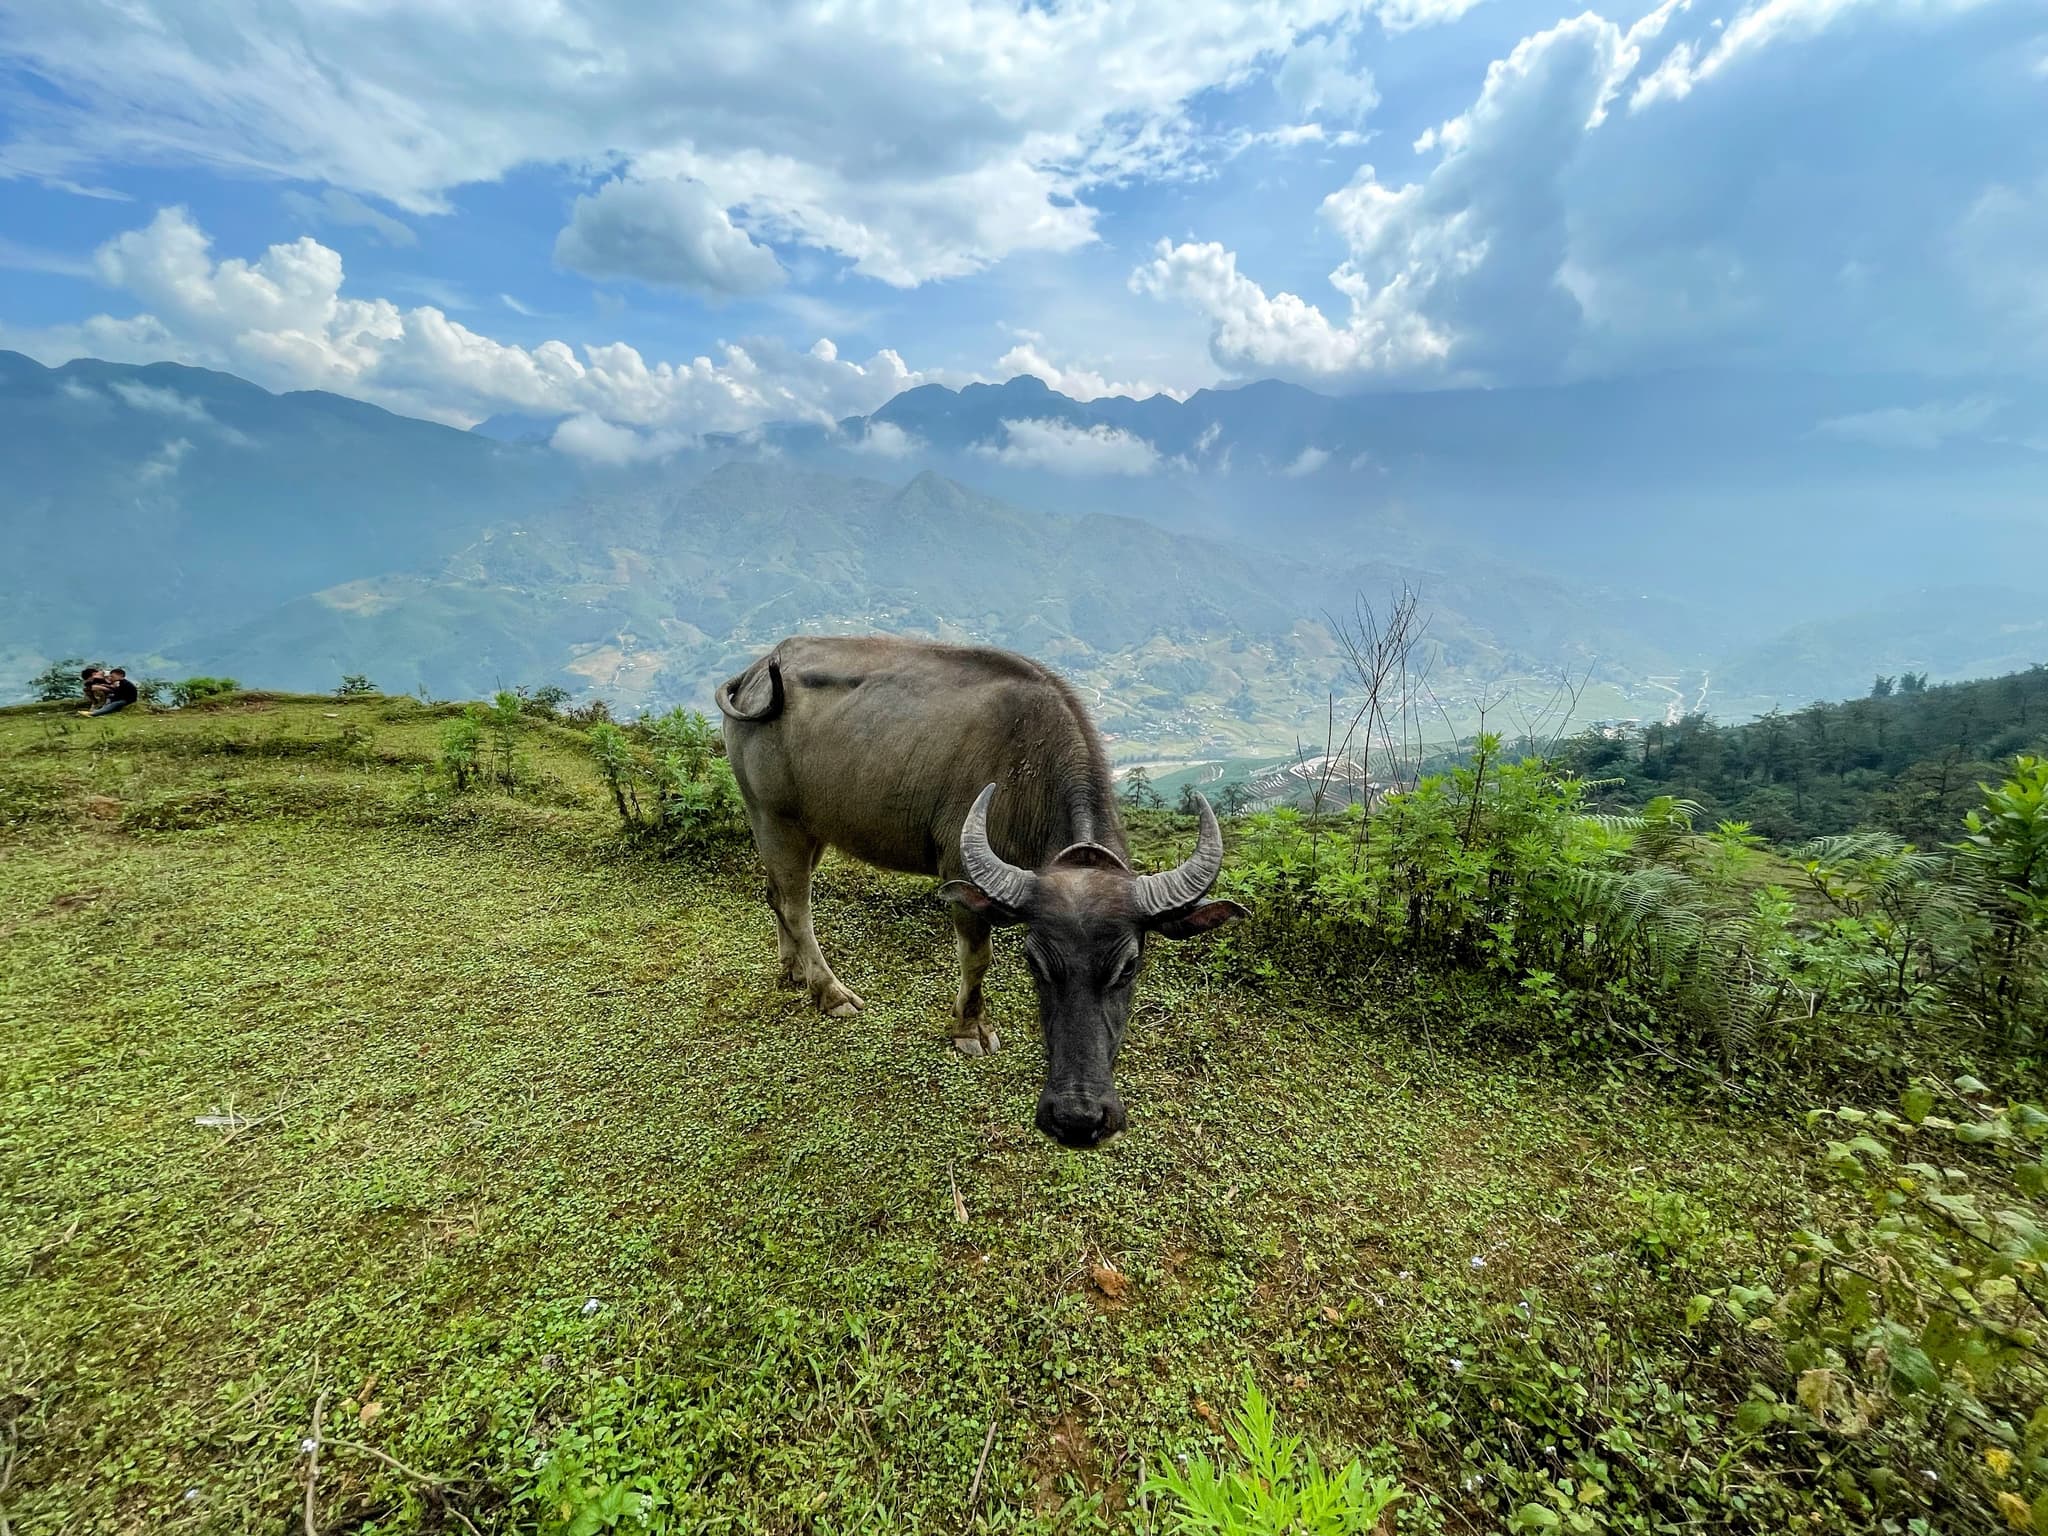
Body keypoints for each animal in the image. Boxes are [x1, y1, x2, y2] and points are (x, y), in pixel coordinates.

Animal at [716, 630, 1245, 1146]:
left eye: (1129, 966)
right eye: (1034, 961)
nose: (1078, 1118)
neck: (1028, 769)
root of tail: (757, 671)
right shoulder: (964, 876)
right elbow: (977, 959)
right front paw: (969, 1028)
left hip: (802, 825)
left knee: (776, 894)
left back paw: (793, 970)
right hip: (775, 817)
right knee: (797, 904)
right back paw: (830, 993)